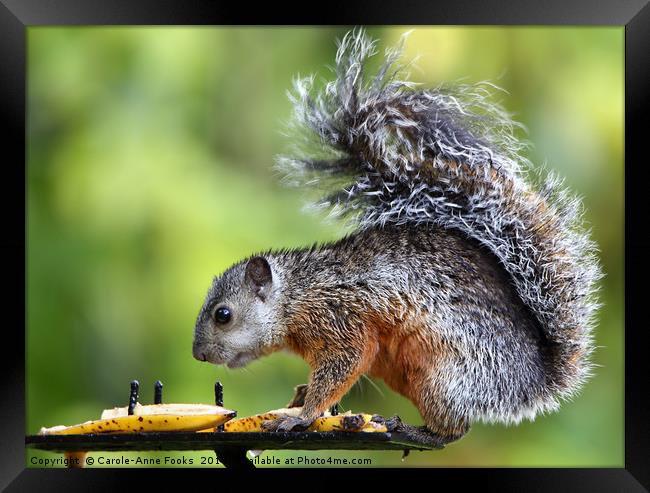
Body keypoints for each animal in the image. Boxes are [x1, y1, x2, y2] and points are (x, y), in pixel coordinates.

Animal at [192, 29, 604, 446]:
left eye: (223, 315)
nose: (198, 355)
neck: (298, 294)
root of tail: (532, 381)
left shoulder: (342, 320)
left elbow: (344, 364)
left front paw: (302, 417)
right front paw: (301, 397)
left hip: (445, 377)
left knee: (452, 432)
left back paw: (411, 431)